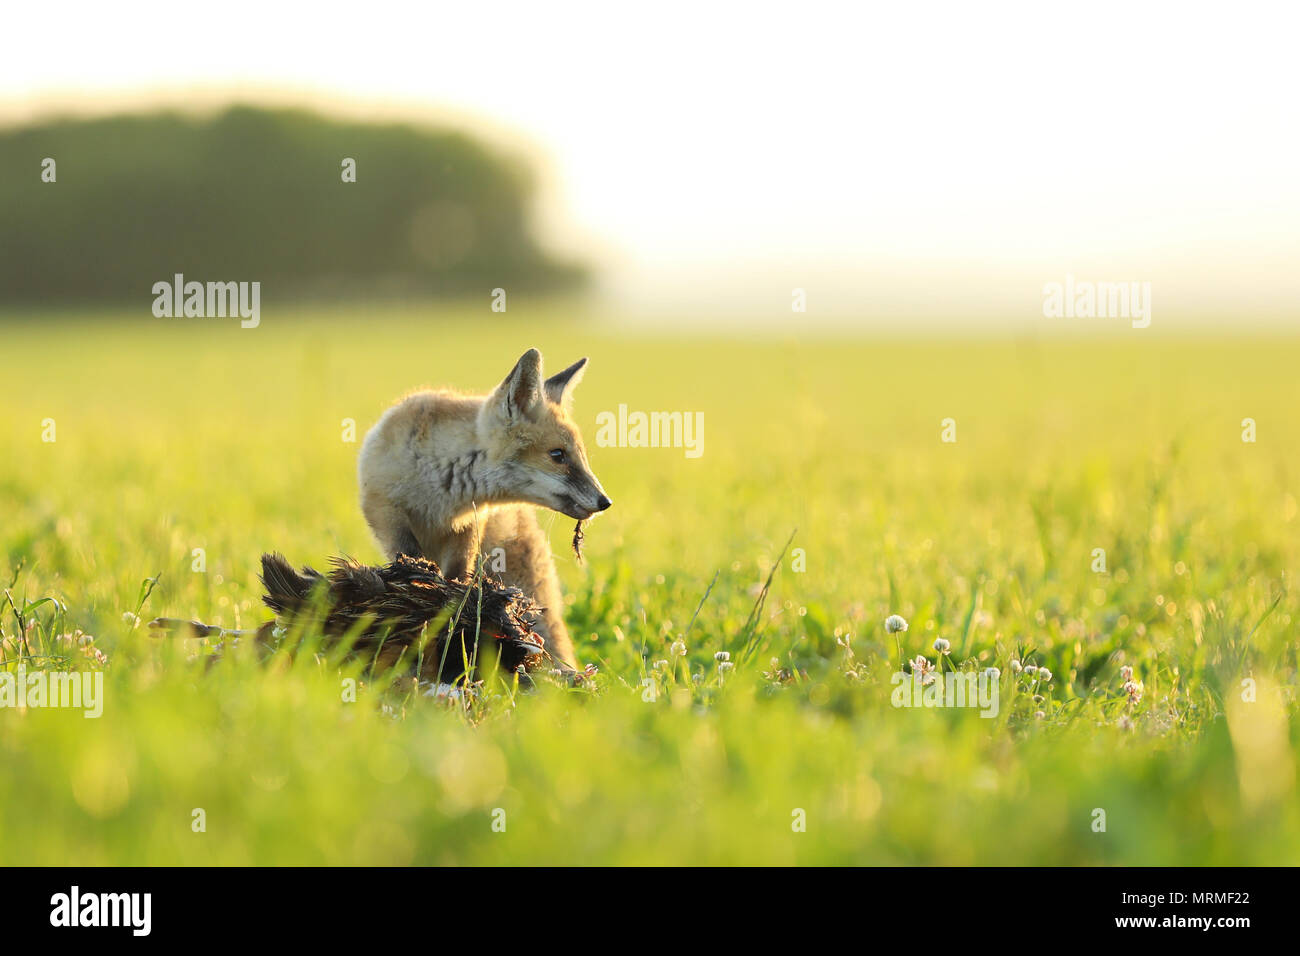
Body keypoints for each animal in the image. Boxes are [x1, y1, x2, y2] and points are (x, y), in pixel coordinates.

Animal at [358, 348, 611, 671]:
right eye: (557, 455)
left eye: (581, 456)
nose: (605, 502)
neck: (443, 490)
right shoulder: (384, 509)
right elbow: (408, 553)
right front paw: (421, 583)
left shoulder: (469, 526)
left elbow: (457, 576)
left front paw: (454, 606)